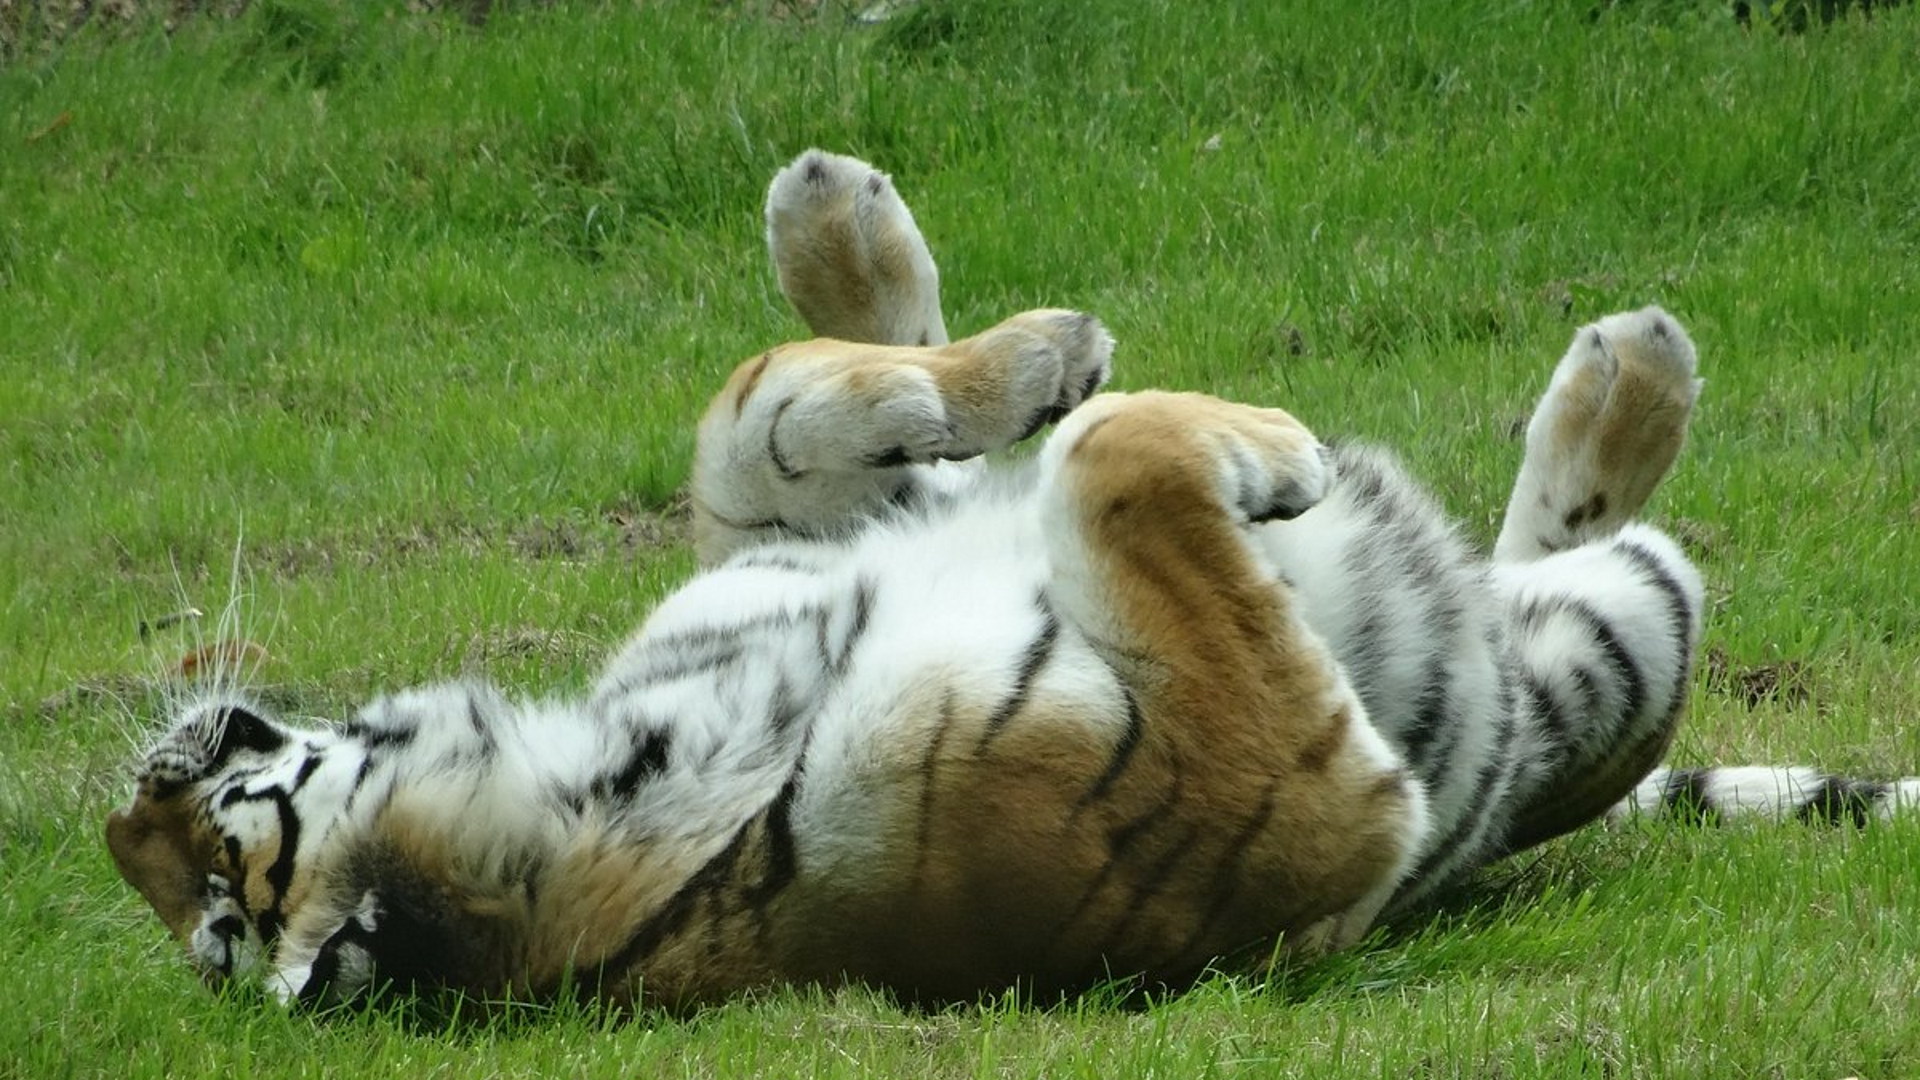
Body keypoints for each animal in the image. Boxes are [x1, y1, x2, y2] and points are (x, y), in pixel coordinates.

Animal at [108, 147, 1920, 1006]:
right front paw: (1260, 443)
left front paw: (1035, 361)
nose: (135, 791)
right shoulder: (1294, 800)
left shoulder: (777, 544)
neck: (579, 779)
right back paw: (1609, 394)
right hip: (1633, 626)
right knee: (1539, 571)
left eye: (209, 865)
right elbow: (1115, 461)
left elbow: (763, 411)